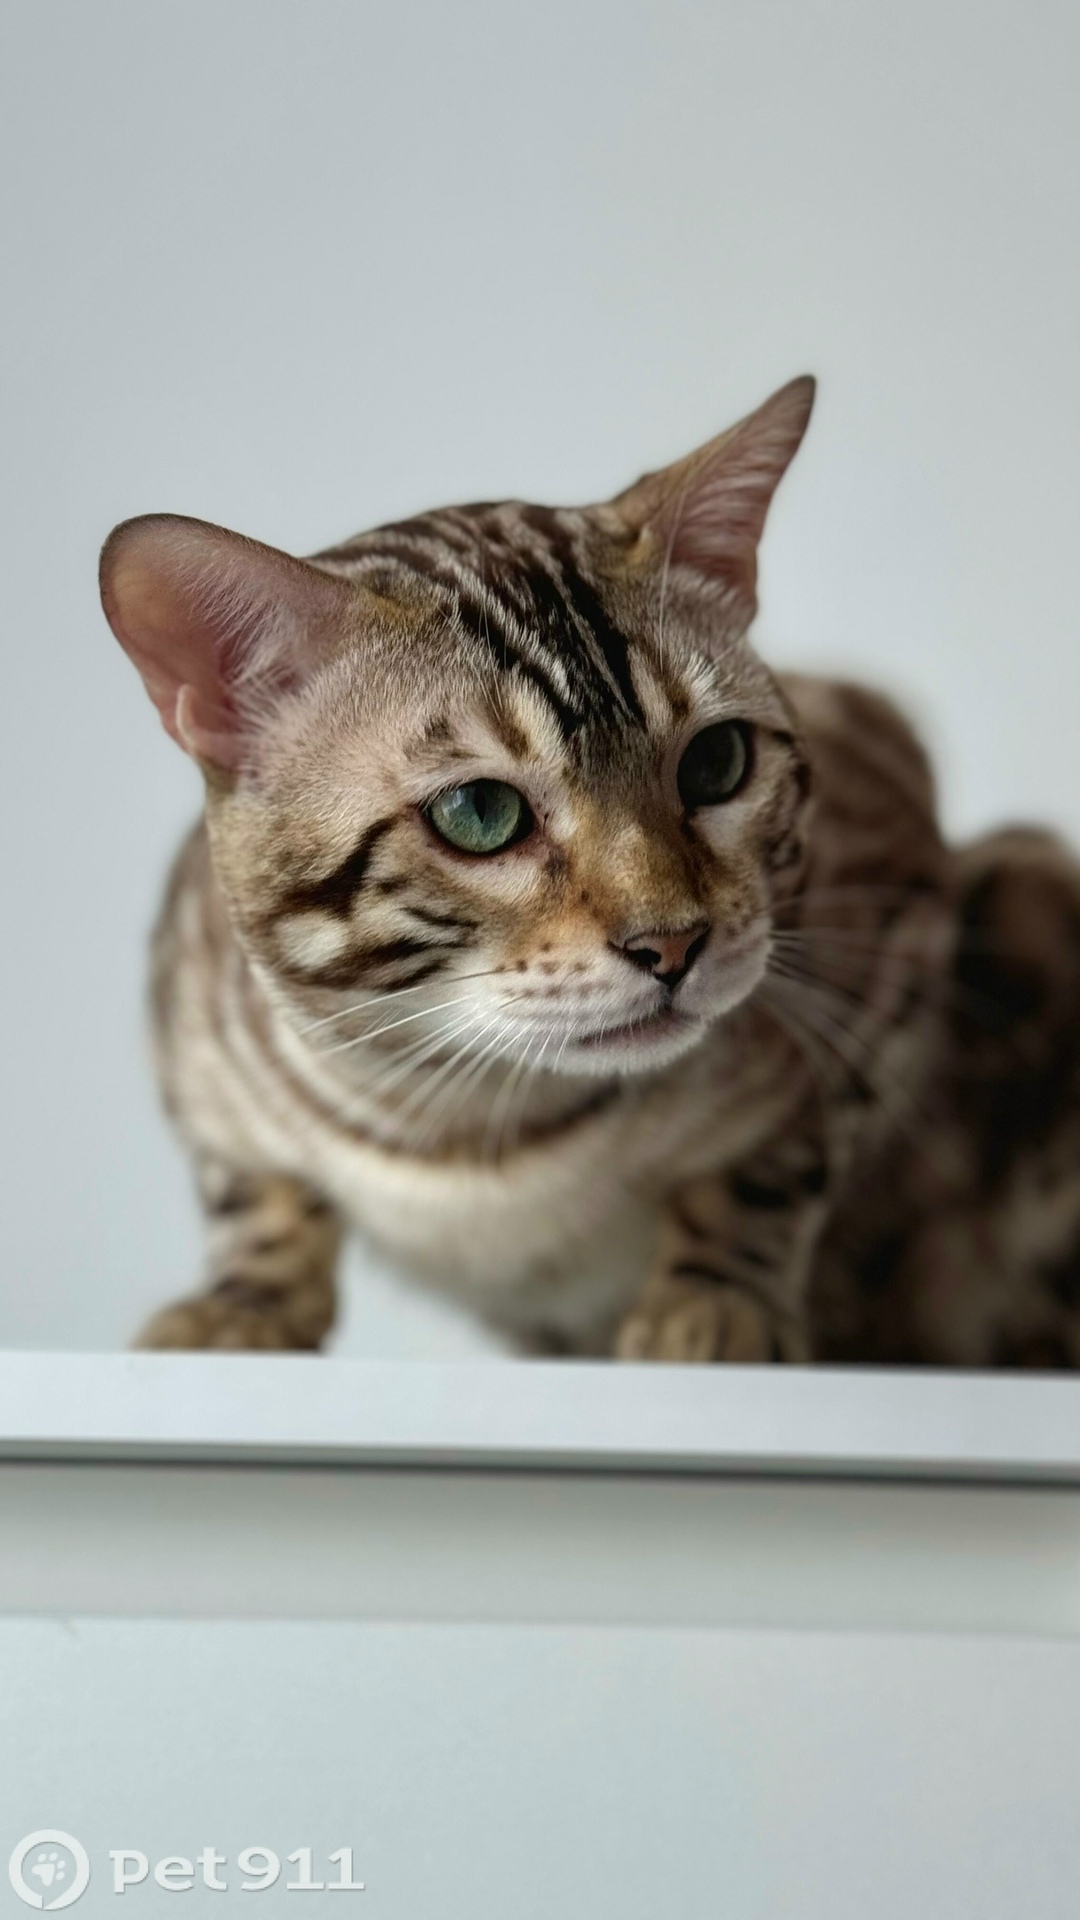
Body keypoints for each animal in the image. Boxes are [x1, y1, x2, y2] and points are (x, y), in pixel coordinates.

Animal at [99, 377, 1080, 1366]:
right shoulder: (192, 1053)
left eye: (717, 763)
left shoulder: (884, 940)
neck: (468, 1128)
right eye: (479, 813)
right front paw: (240, 1307)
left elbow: (765, 1170)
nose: (674, 943)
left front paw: (711, 1307)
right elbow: (254, 1191)